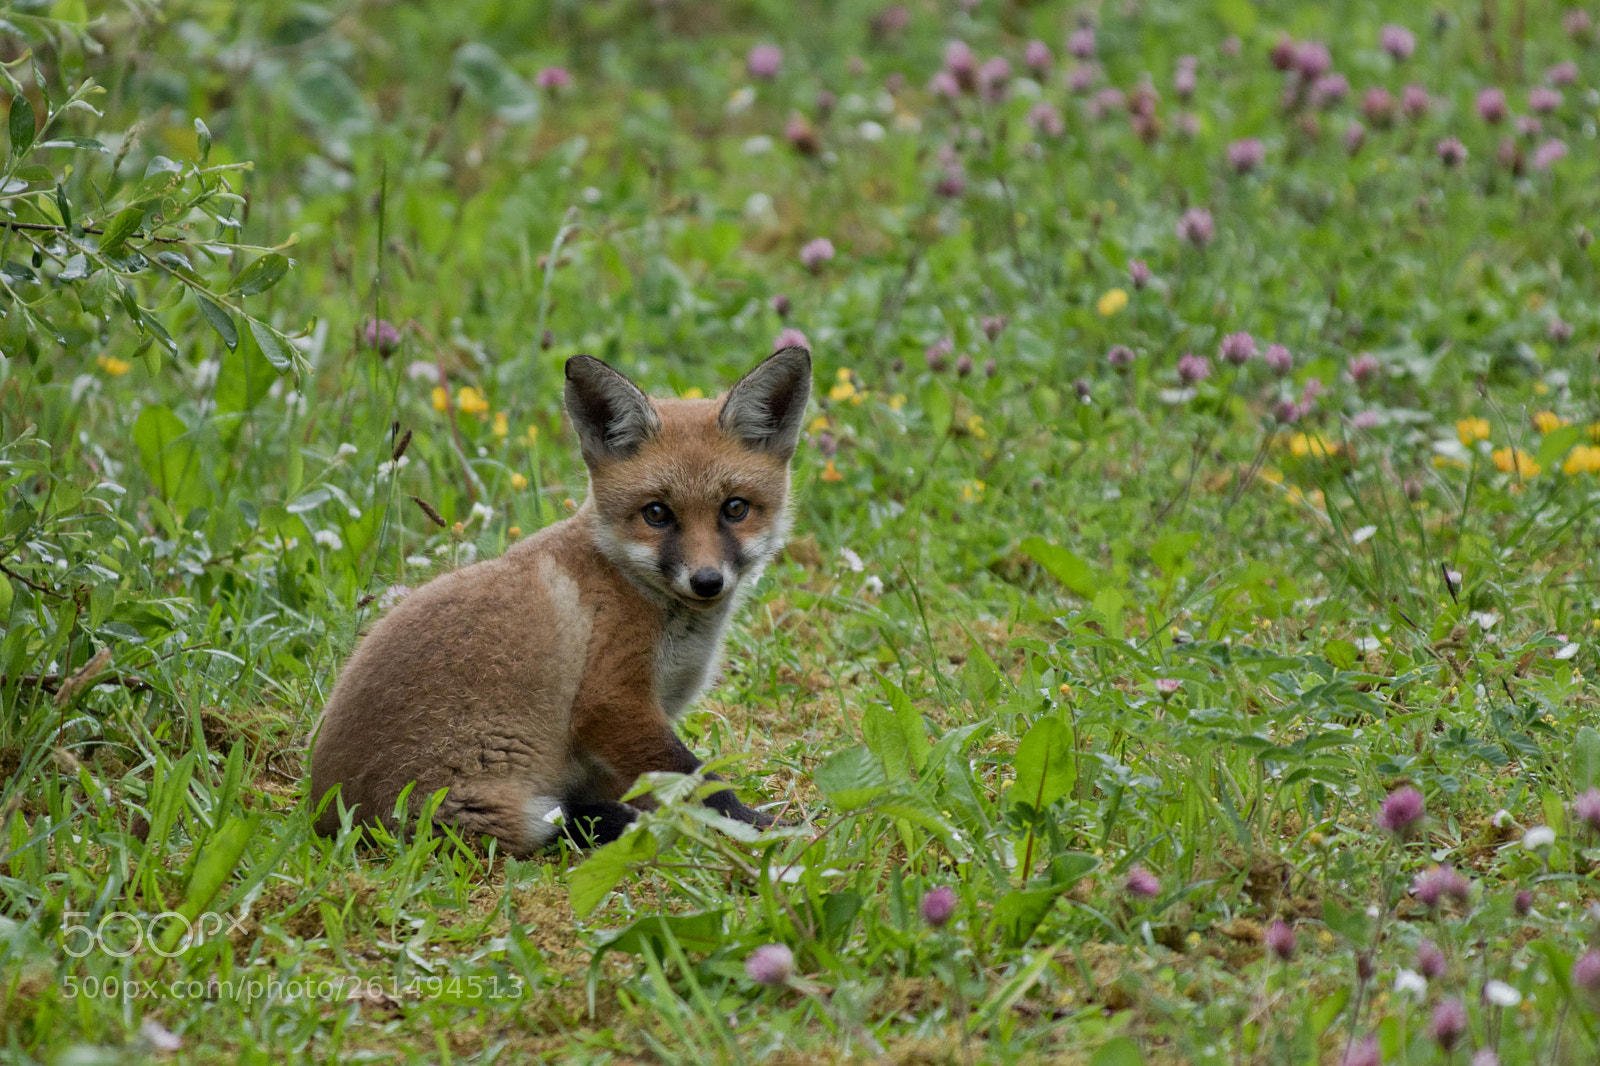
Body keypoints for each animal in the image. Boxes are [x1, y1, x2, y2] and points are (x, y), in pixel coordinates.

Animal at [308, 345, 812, 855]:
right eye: (656, 514)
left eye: (735, 508)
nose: (707, 580)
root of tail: (327, 814)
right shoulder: (611, 703)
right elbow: (697, 779)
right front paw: (755, 825)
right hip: (479, 802)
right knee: (547, 824)